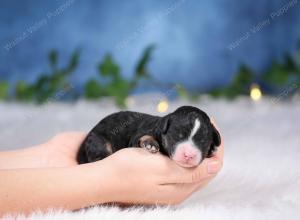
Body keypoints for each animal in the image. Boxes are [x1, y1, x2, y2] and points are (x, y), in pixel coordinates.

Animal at [77, 105, 220, 168]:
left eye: (203, 141)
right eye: (178, 135)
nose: (189, 155)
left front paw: (212, 149)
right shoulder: (138, 136)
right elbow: (143, 137)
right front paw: (150, 144)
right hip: (98, 141)